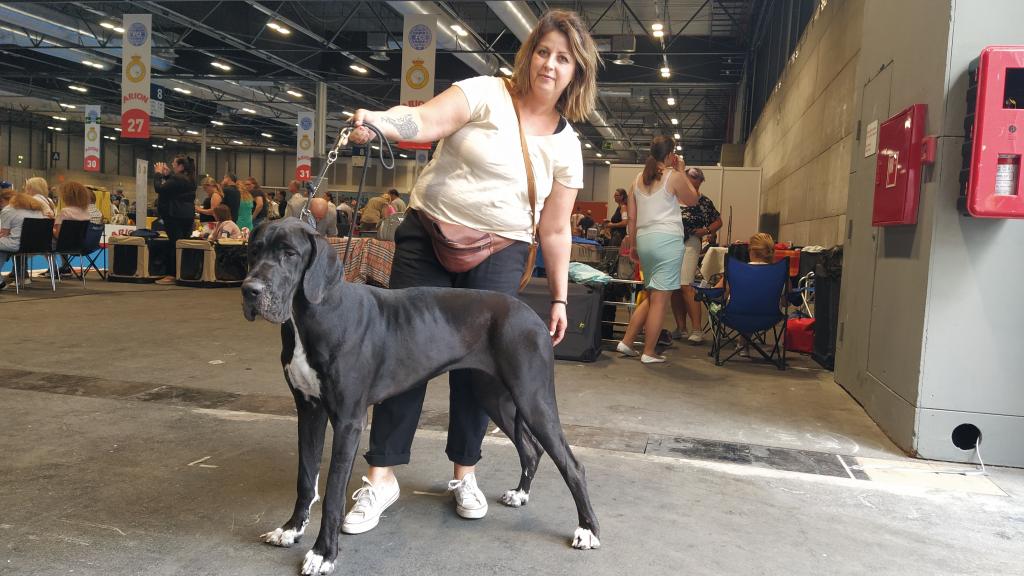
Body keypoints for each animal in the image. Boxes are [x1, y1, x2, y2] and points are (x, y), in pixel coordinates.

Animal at [239, 217, 598, 569]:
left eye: (289, 253)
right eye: (254, 251)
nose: (249, 290)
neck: (312, 316)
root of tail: (532, 315)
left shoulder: (348, 420)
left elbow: (333, 492)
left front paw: (323, 553)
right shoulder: (309, 410)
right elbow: (305, 479)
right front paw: (290, 530)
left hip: (533, 397)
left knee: (572, 465)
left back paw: (587, 530)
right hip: (494, 396)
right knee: (532, 449)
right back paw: (520, 494)